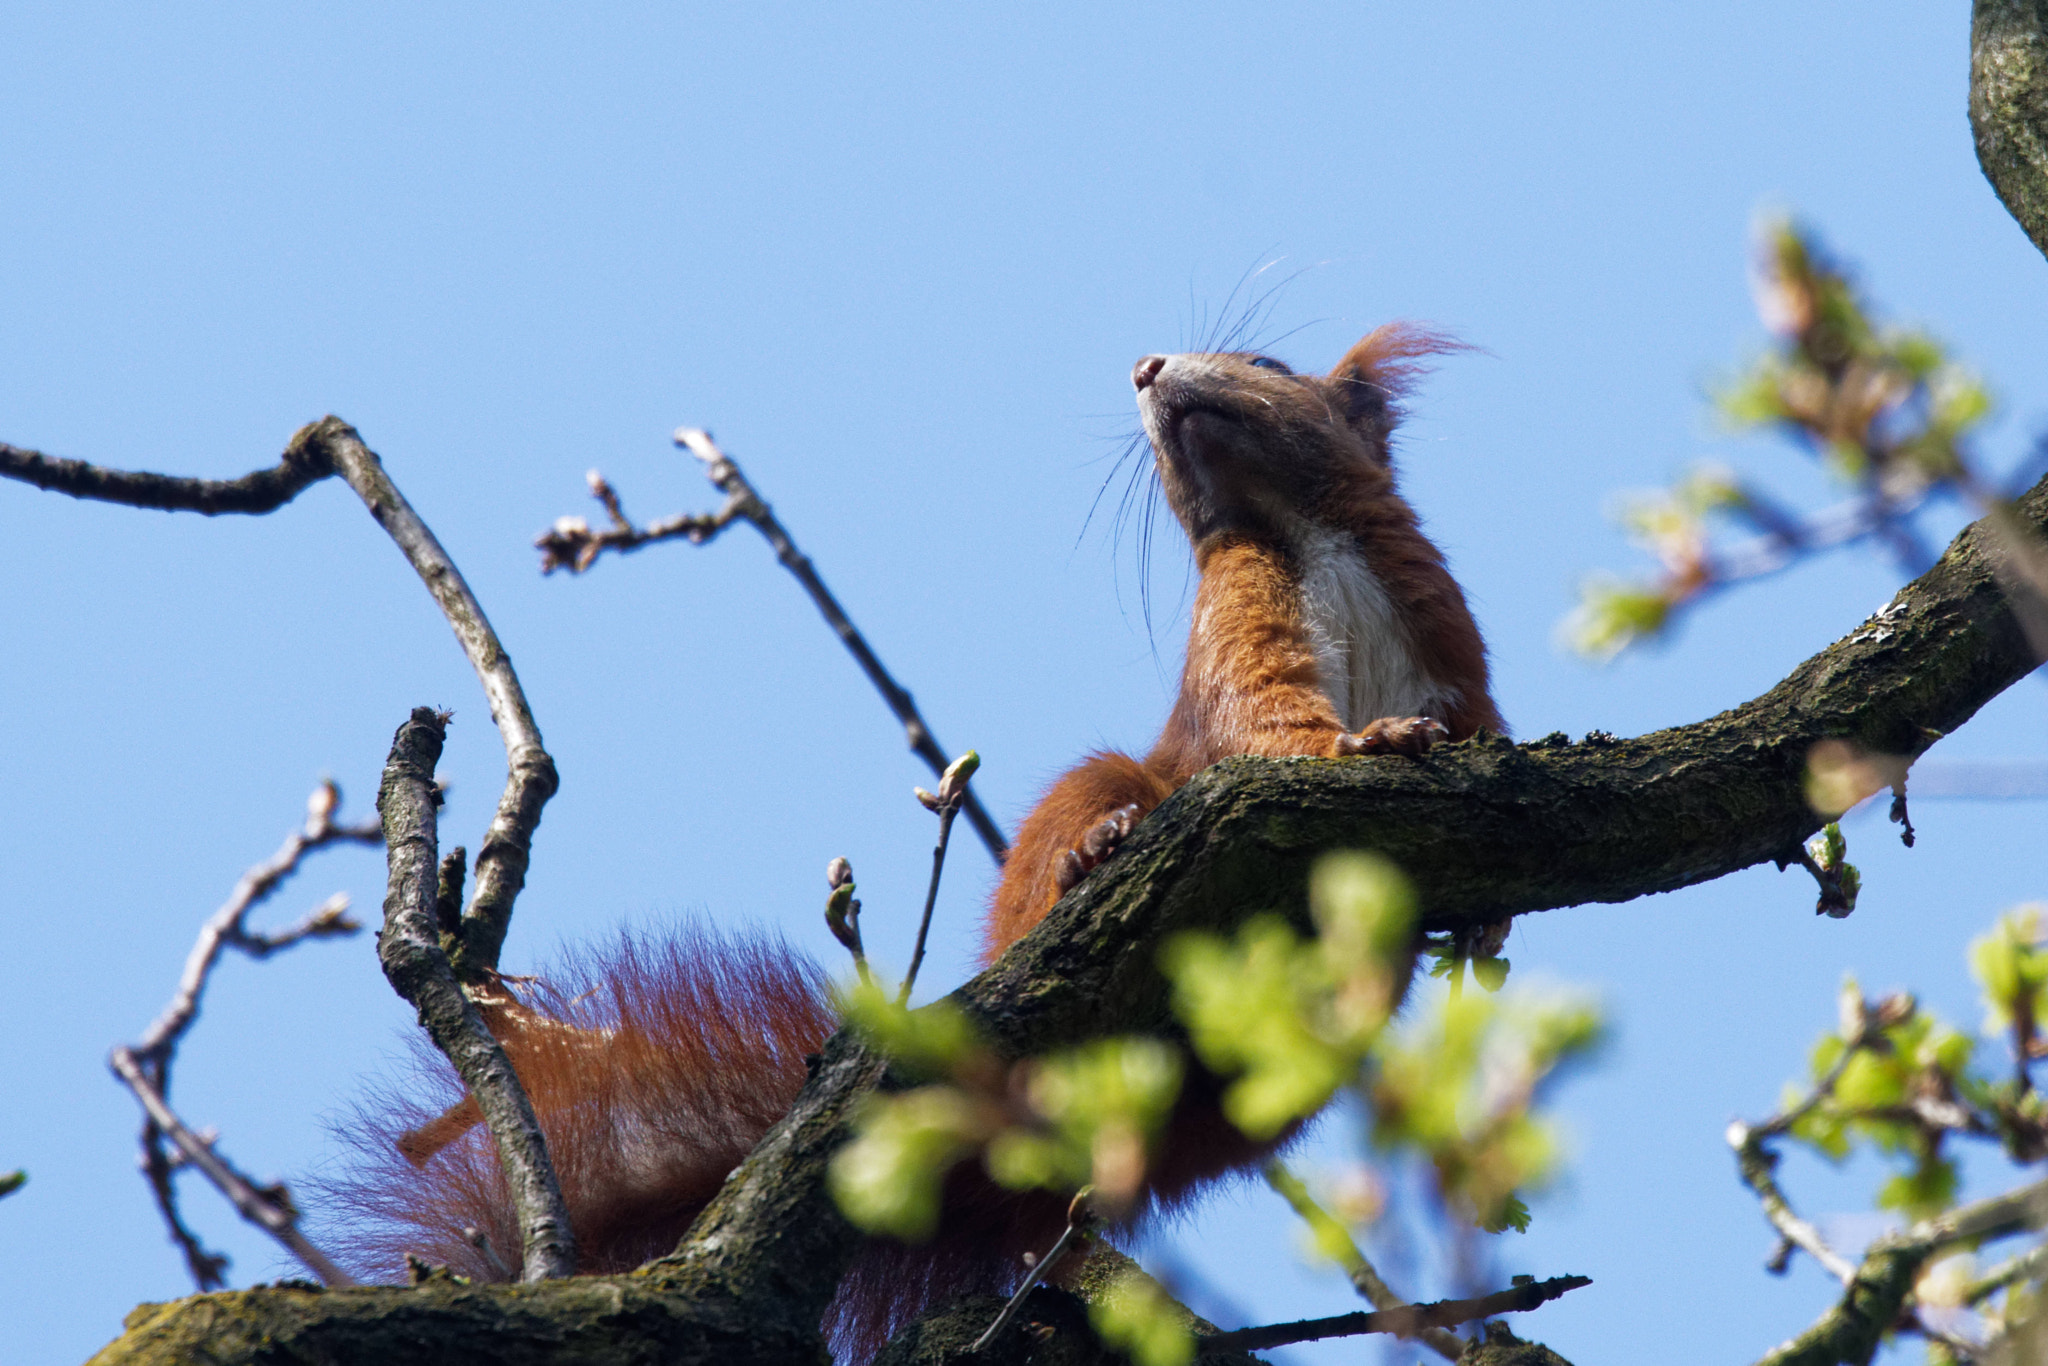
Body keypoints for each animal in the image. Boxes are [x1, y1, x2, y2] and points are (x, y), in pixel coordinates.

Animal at [319, 323, 1507, 1359]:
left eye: (1269, 365)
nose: (1145, 367)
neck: (1302, 529)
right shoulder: (1240, 631)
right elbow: (1269, 725)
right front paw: (1364, 740)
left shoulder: (1446, 635)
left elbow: (1481, 722)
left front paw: (1480, 907)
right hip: (1086, 814)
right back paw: (1097, 851)